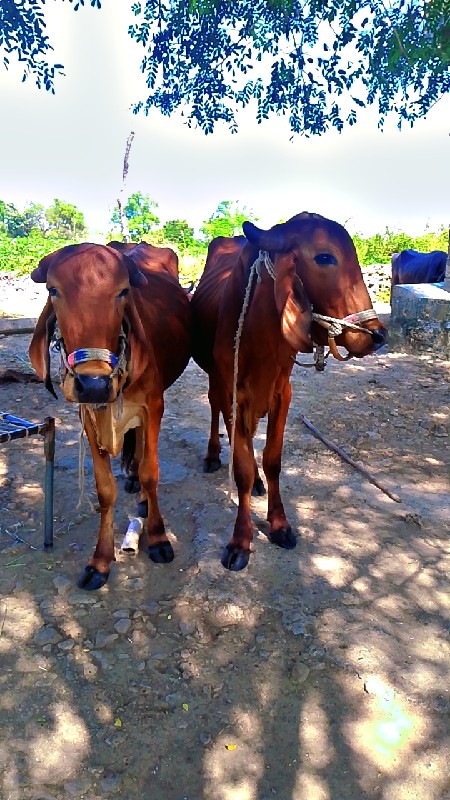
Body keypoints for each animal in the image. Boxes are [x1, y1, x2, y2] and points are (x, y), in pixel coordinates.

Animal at [29, 242, 192, 588]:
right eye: (53, 290)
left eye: (123, 291)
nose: (93, 383)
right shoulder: (87, 415)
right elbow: (105, 490)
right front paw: (100, 561)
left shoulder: (153, 406)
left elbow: (151, 473)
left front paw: (158, 537)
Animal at [192, 212, 384, 572]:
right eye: (324, 257)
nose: (377, 336)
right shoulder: (234, 392)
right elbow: (240, 467)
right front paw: (241, 540)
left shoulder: (282, 394)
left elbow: (272, 461)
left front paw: (279, 523)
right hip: (214, 380)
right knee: (215, 410)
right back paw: (212, 454)